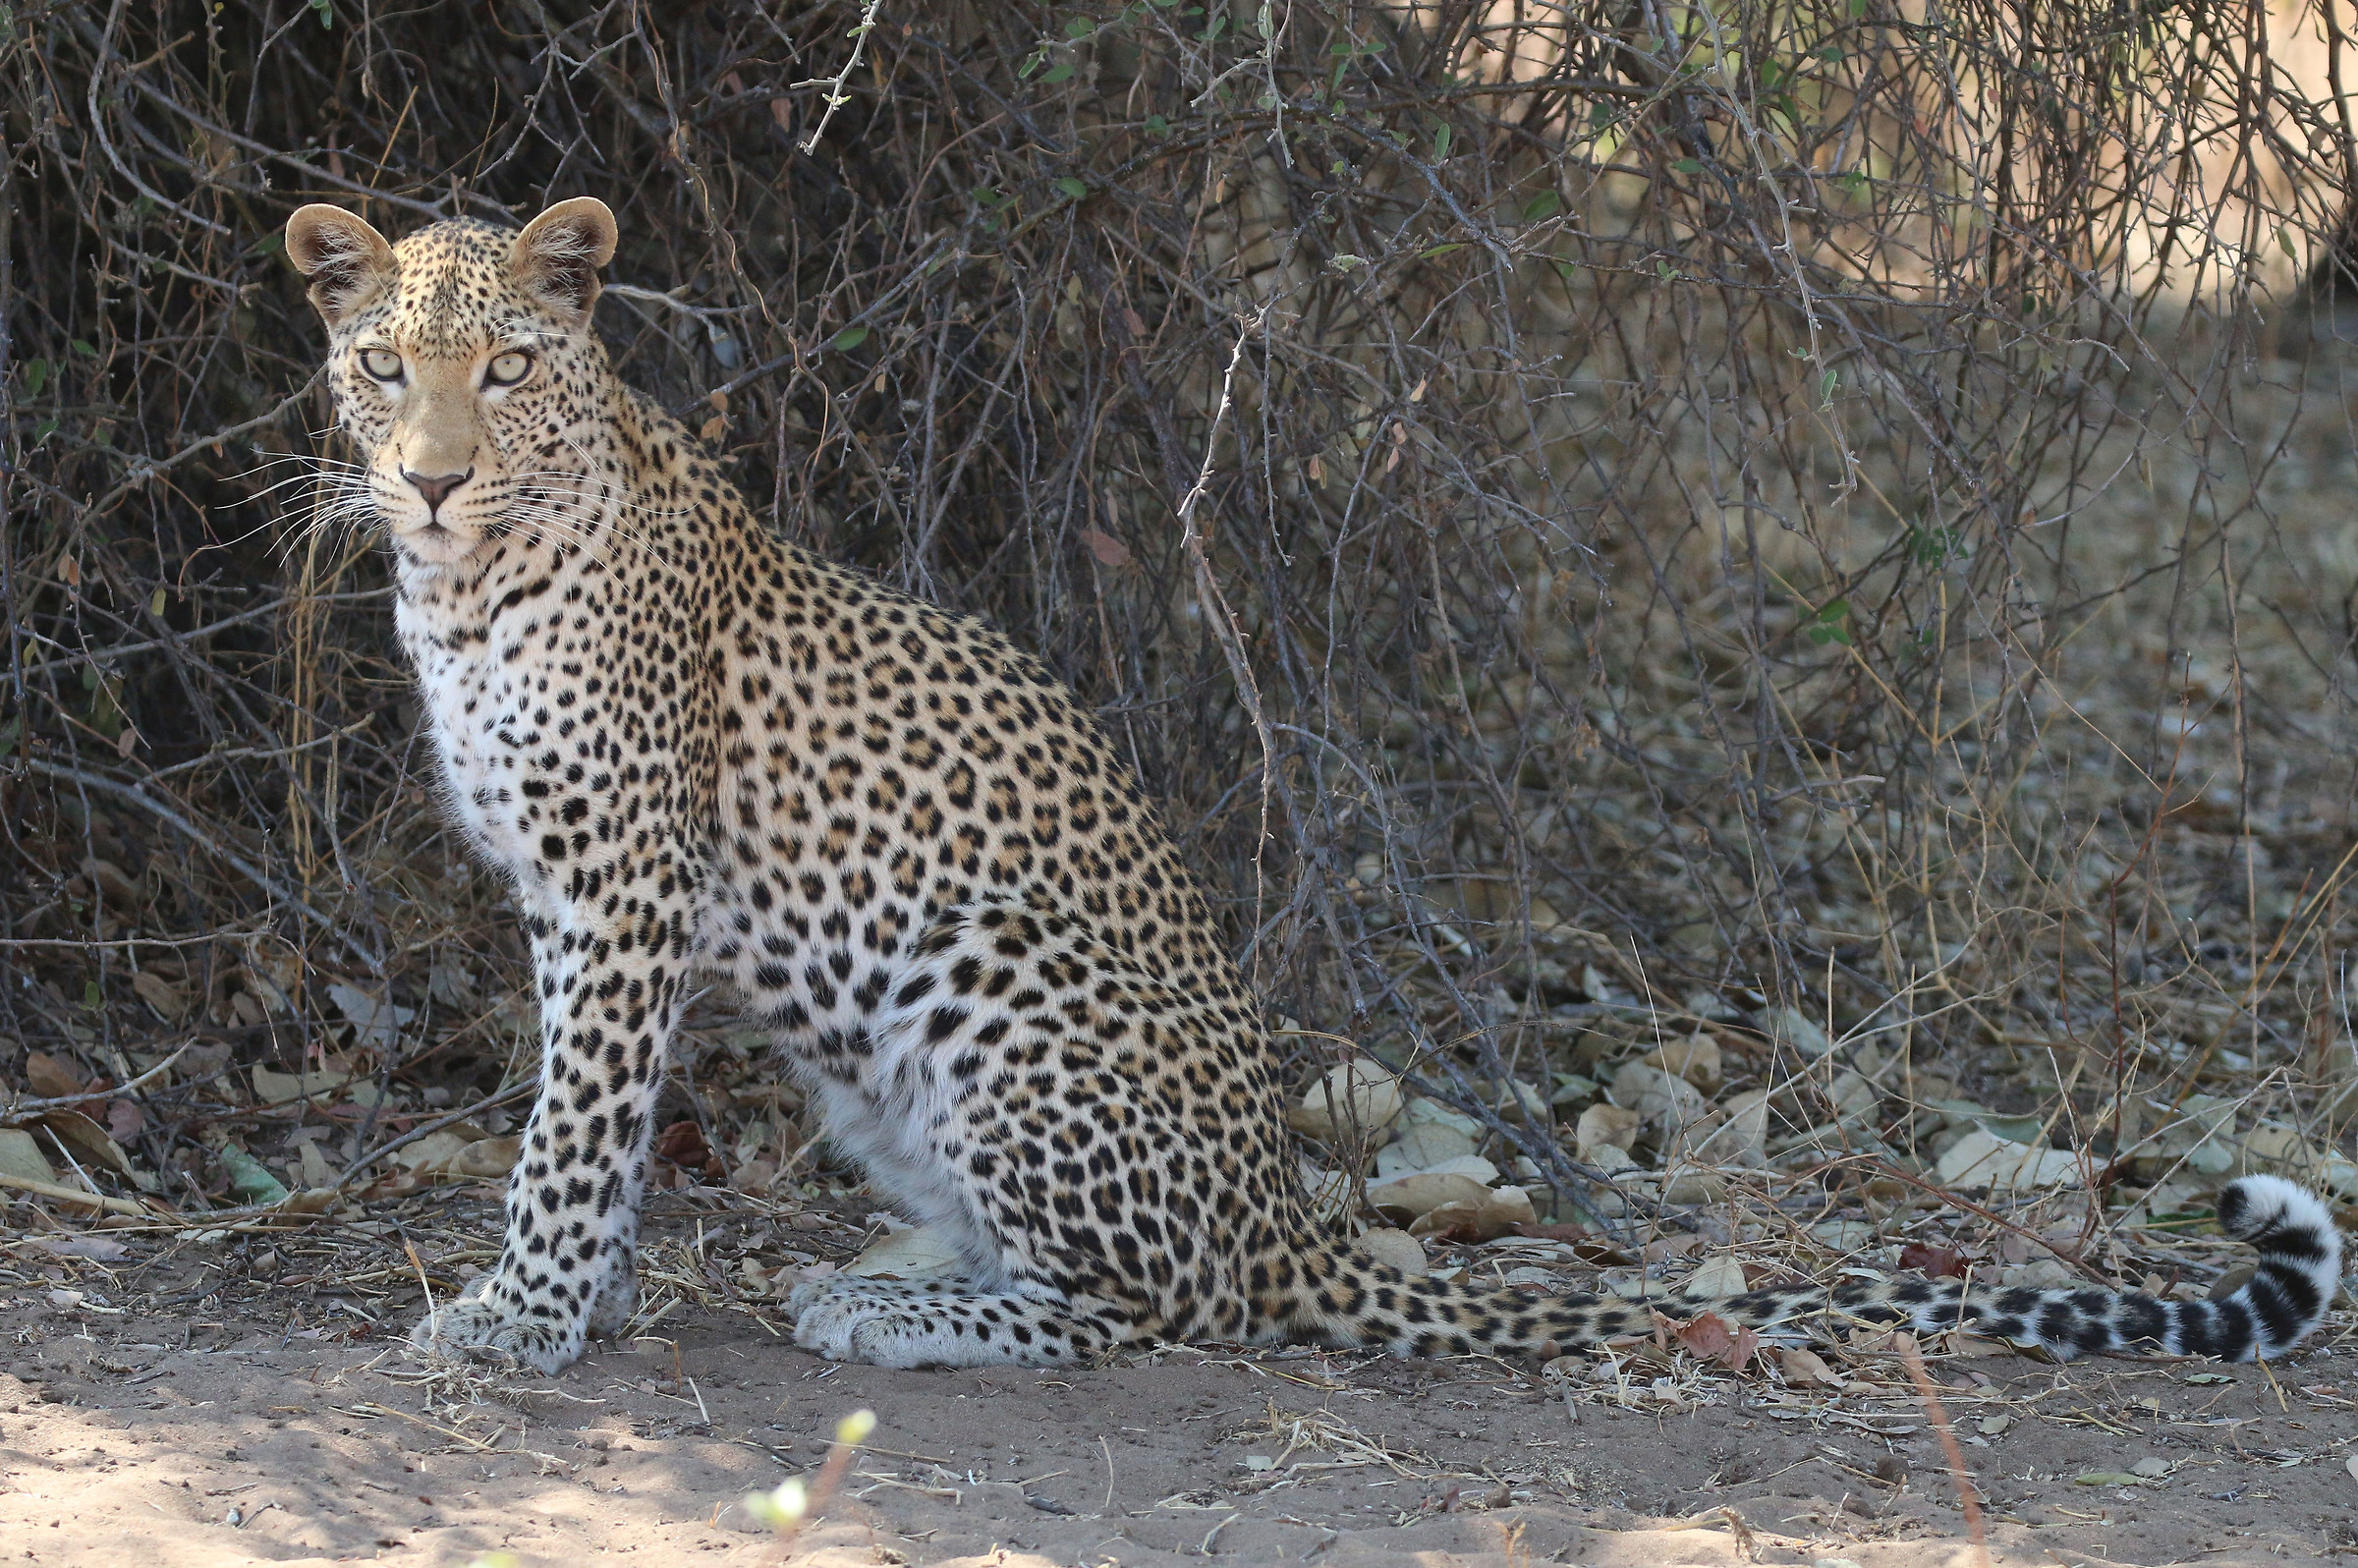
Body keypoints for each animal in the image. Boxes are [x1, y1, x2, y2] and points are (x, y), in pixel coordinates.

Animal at [281, 196, 2343, 1376]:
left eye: (510, 366)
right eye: (384, 367)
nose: (433, 478)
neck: (468, 584)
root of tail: (1289, 1206)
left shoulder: (619, 890)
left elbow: (574, 1128)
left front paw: (521, 1317)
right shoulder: (583, 901)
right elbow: (600, 1123)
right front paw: (578, 1302)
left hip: (1001, 995)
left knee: (1160, 1303)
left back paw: (899, 1307)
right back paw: (900, 1255)